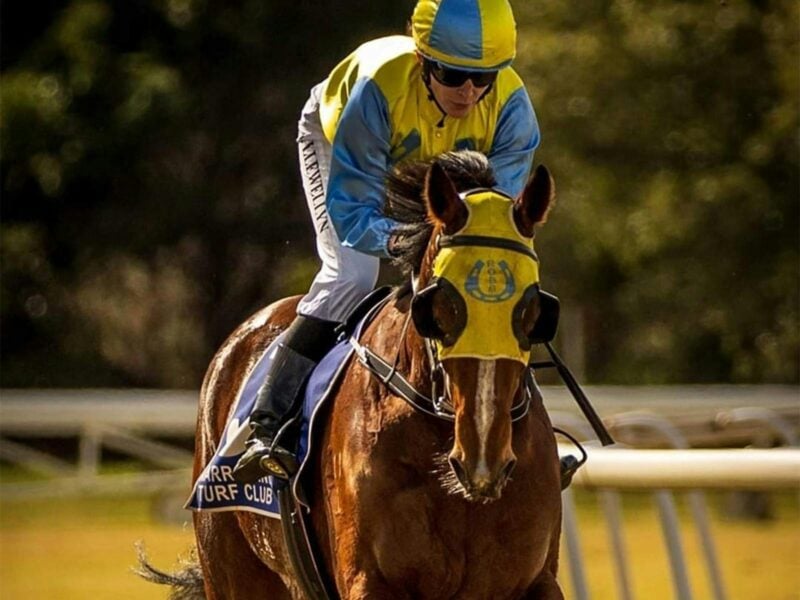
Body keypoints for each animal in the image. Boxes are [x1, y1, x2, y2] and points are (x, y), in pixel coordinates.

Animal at [181, 150, 564, 599]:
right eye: (439, 307)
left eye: (532, 310)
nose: (483, 461)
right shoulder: (369, 580)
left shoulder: (536, 579)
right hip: (232, 567)